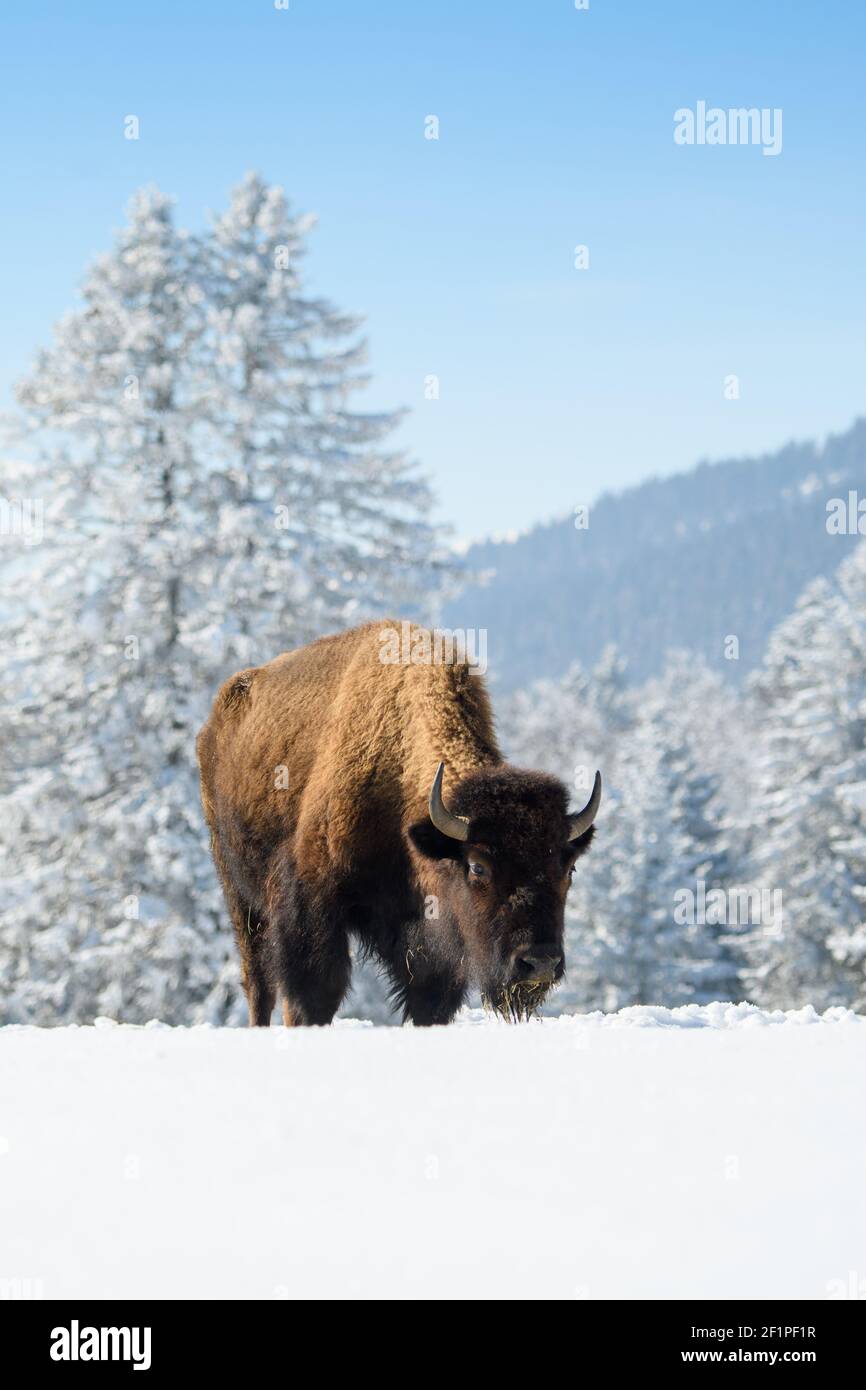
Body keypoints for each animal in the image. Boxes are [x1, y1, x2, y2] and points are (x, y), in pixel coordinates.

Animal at [195, 625, 603, 1028]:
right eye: (477, 866)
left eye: (569, 868)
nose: (539, 962)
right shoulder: (310, 902)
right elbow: (313, 997)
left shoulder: (428, 940)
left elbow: (429, 1001)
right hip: (239, 893)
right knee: (258, 982)